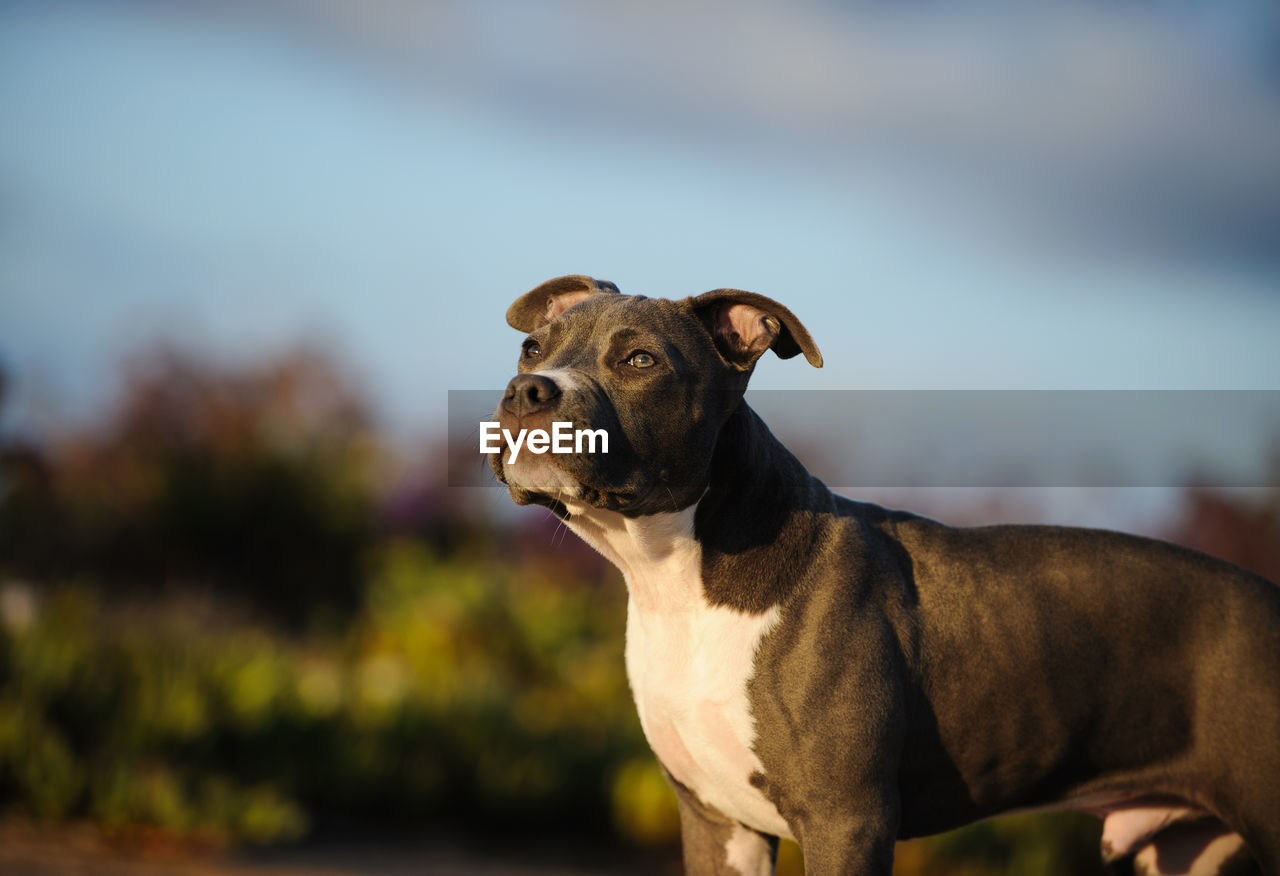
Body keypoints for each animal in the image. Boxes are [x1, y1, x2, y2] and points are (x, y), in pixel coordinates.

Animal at [486, 275, 1280, 876]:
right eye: (531, 347)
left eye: (641, 361)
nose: (528, 391)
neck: (677, 581)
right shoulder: (718, 823)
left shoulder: (847, 820)